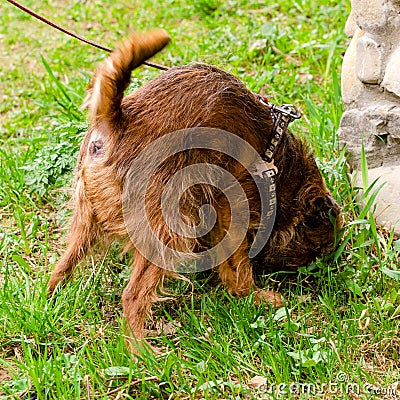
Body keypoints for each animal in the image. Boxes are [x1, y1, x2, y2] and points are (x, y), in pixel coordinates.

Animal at [47, 29, 340, 352]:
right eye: (314, 250)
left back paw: (50, 298)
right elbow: (238, 264)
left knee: (64, 263)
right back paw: (140, 352)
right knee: (133, 295)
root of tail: (119, 122)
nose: (315, 269)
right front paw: (252, 295)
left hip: (86, 218)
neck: (280, 163)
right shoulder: (233, 206)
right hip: (167, 229)